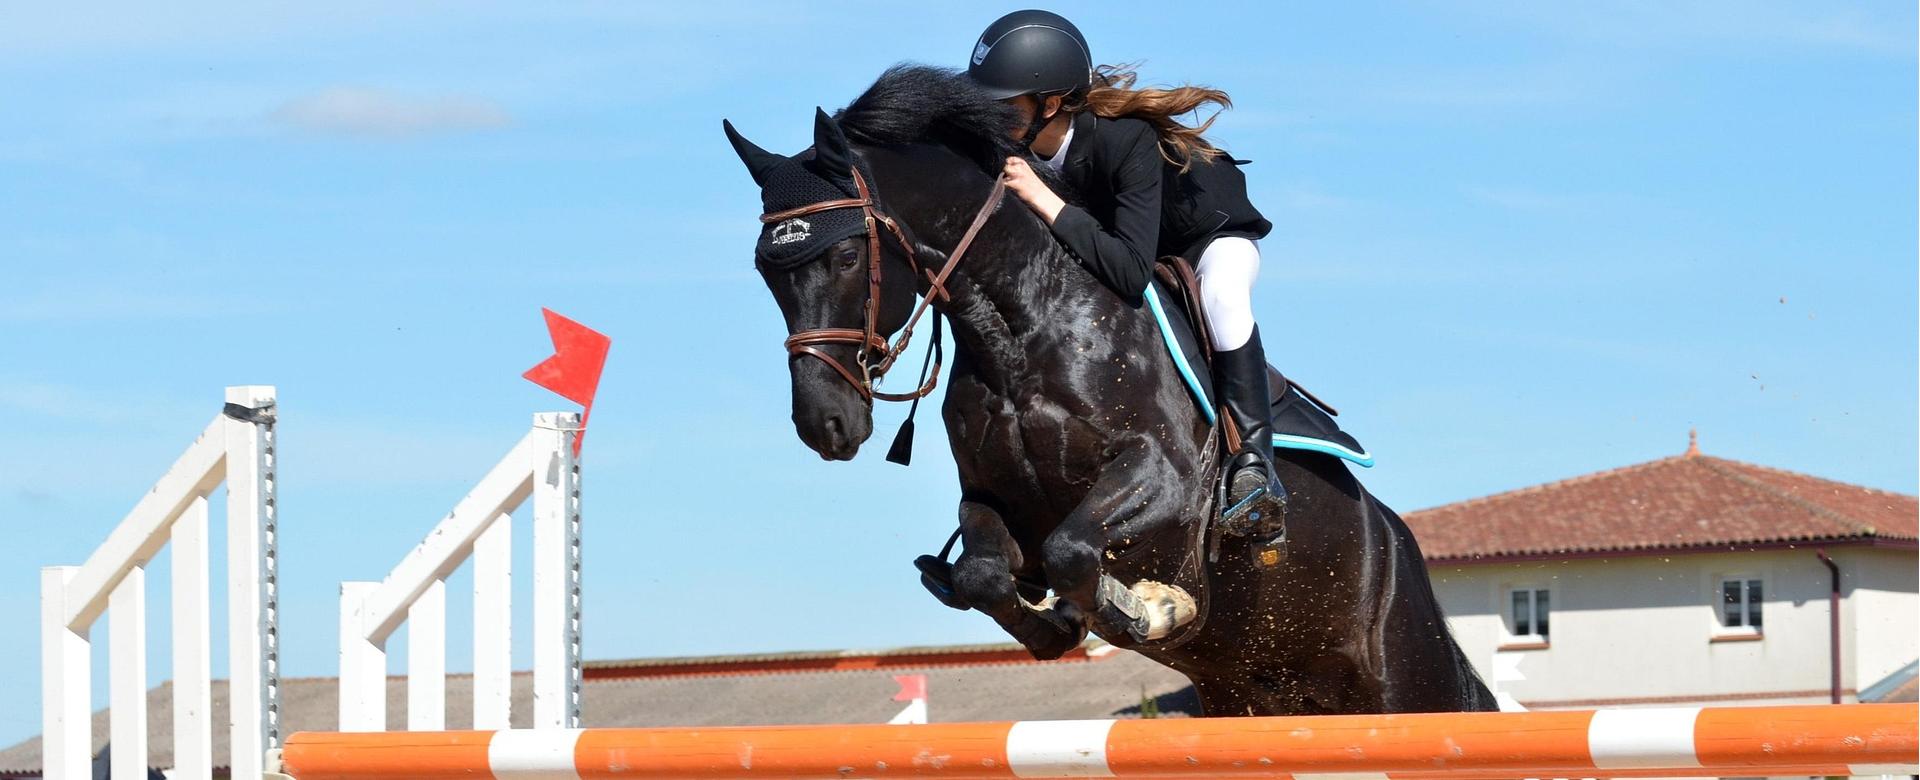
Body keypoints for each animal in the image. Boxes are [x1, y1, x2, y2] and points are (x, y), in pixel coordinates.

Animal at [725, 65, 1495, 715]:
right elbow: (984, 576)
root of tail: (1396, 542)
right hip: (1251, 699)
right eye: (766, 269)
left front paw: (1151, 607)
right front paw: (1061, 625)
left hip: (1407, 687)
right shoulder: (993, 498)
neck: (1022, 328)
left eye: (846, 256)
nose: (823, 423)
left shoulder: (1165, 479)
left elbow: (1074, 549)